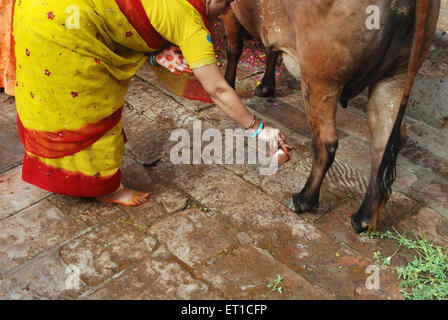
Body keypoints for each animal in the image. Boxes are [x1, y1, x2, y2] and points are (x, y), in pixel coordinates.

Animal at [222, 0, 440, 232]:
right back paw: (363, 218)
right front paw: (266, 86)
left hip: (320, 79)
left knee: (326, 143)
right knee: (383, 145)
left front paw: (229, 83)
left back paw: (304, 199)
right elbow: (269, 49)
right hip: (395, 76)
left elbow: (234, 47)